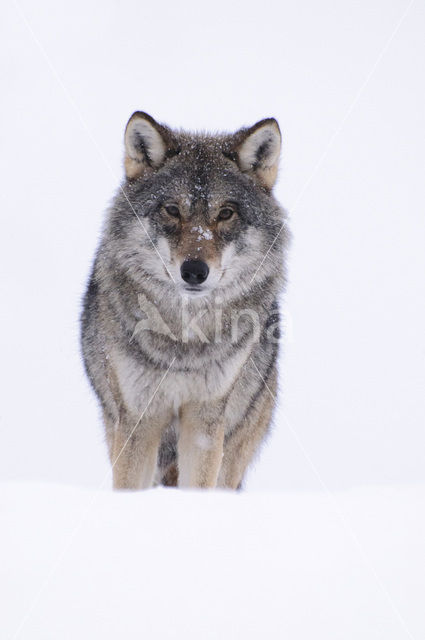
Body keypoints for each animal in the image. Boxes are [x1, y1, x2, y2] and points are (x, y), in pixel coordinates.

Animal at [80, 111, 288, 490]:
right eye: (172, 210)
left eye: (226, 213)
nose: (194, 271)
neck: (184, 338)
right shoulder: (137, 419)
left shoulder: (205, 420)